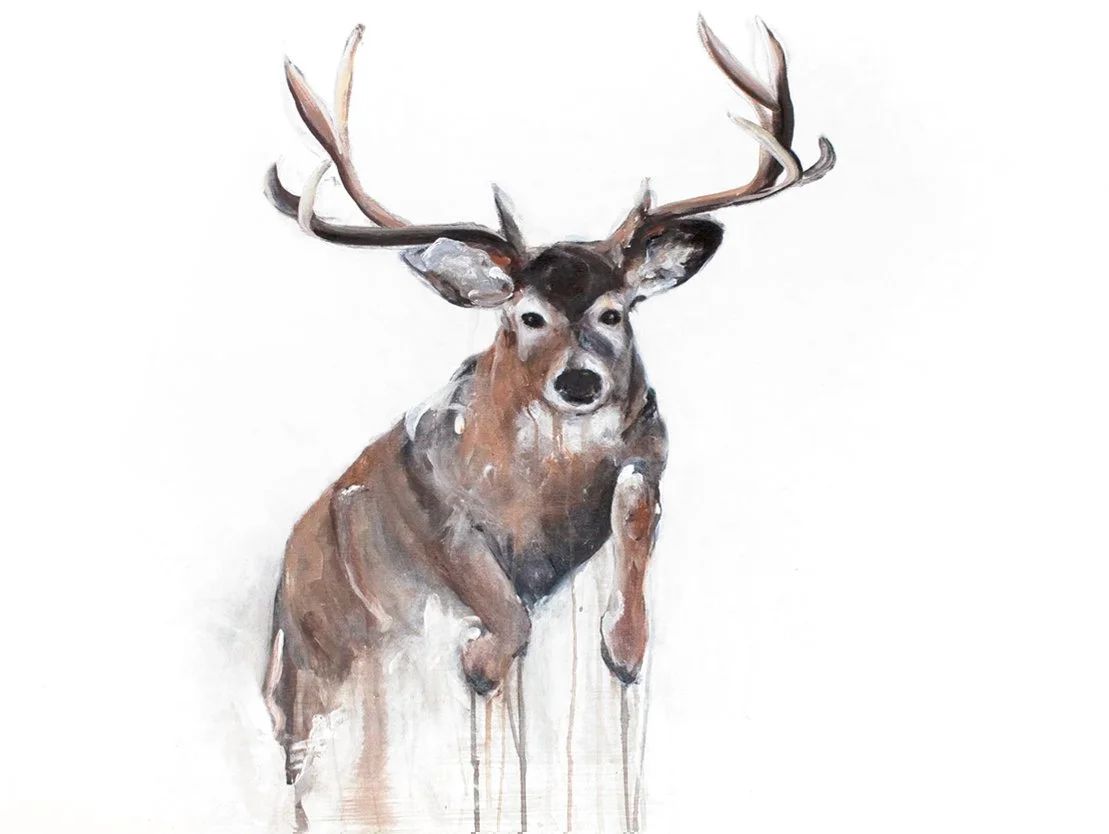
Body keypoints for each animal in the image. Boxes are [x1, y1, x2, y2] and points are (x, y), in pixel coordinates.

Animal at [261, 13, 835, 807]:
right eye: (527, 315)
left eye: (615, 311)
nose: (580, 382)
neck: (540, 494)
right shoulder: (433, 494)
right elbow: (495, 596)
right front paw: (481, 661)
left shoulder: (649, 457)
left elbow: (634, 515)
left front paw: (624, 647)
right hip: (309, 681)